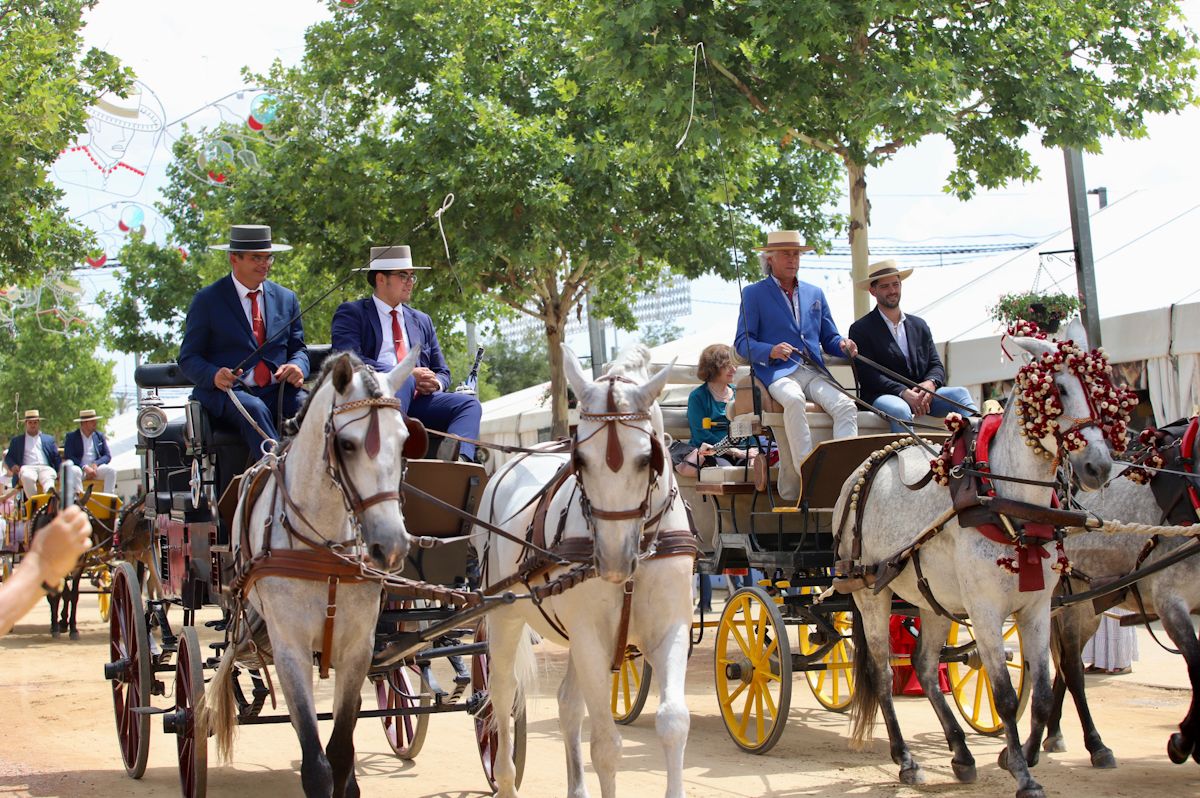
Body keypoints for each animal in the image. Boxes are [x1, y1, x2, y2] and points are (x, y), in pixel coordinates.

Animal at [208, 350, 424, 796]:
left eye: (403, 441)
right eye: (347, 443)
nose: (391, 544)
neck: (323, 546)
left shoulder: (358, 646)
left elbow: (340, 752)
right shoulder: (289, 649)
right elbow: (315, 762)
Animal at [475, 343, 696, 796]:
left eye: (648, 458)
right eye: (579, 458)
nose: (612, 560)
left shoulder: (671, 628)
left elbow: (673, 722)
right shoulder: (591, 638)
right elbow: (607, 746)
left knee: (567, 705)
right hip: (505, 616)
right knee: (503, 694)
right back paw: (504, 779)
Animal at [840, 321, 1118, 796]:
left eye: (1099, 388)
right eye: (1058, 390)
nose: (1098, 466)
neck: (1007, 502)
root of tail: (864, 467)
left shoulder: (1037, 608)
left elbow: (1042, 693)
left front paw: (1018, 755)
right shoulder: (986, 611)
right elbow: (1005, 696)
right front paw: (1023, 774)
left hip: (930, 600)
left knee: (925, 666)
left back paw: (961, 752)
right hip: (868, 593)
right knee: (881, 673)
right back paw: (907, 759)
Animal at [1046, 412, 1200, 763]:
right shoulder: (1171, 603)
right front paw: (1183, 741)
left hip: (1085, 605)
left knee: (1062, 666)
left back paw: (1054, 733)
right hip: (1066, 602)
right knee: (1071, 667)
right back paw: (1095, 744)